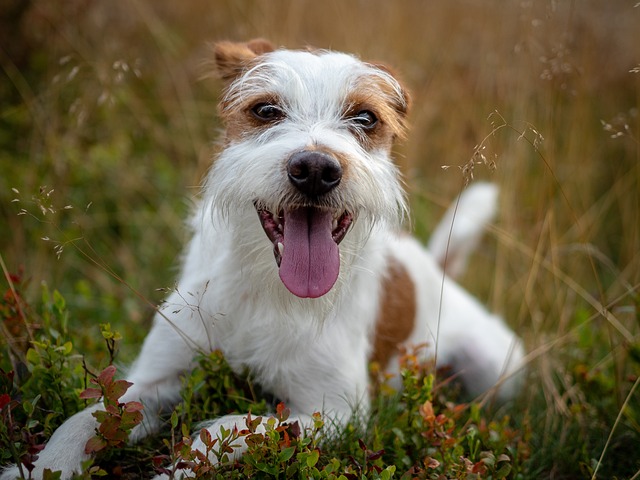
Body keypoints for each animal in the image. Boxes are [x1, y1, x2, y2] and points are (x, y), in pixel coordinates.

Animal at [1, 40, 524, 480]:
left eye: (365, 118)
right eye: (266, 110)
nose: (315, 169)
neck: (265, 284)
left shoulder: (335, 412)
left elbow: (230, 429)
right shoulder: (153, 378)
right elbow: (83, 419)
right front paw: (40, 467)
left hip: (499, 370)